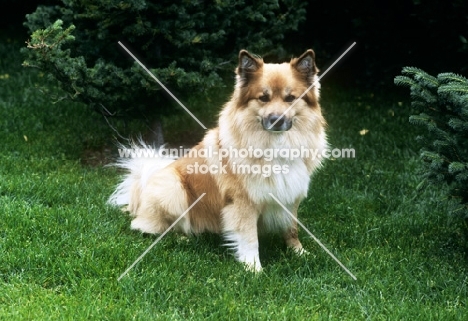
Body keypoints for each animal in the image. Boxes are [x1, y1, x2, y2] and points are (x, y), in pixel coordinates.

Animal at [108, 48, 328, 272]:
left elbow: (292, 229)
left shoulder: (291, 196)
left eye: (290, 98)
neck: (275, 145)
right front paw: (254, 268)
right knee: (146, 227)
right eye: (263, 98)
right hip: (172, 188)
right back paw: (182, 238)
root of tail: (139, 192)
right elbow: (249, 237)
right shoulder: (243, 202)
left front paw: (300, 253)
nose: (277, 120)